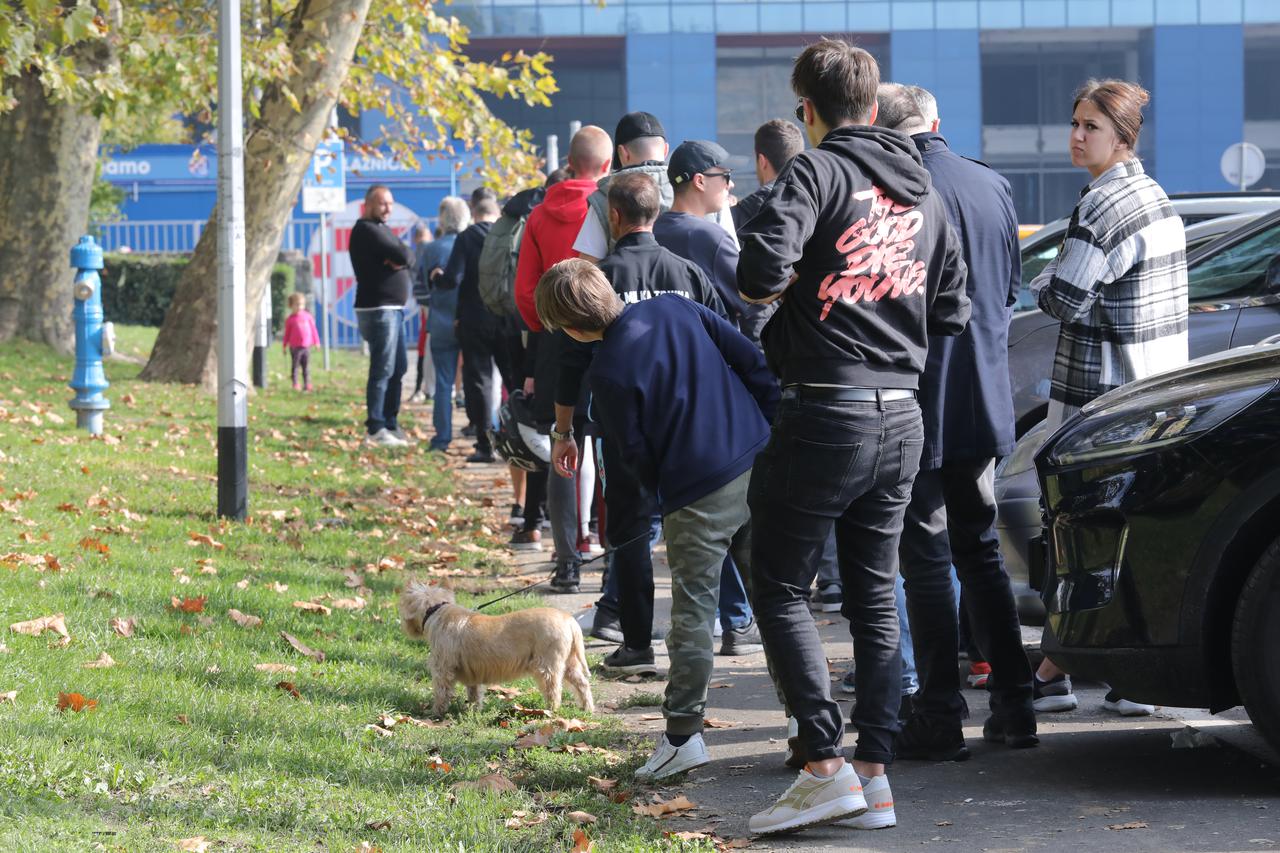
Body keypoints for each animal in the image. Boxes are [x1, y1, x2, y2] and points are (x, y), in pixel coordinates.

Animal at [396, 581, 591, 712]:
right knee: (582, 684)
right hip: (570, 663)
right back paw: (587, 708)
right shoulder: (472, 672)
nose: (403, 626)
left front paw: (436, 712)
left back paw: (551, 711)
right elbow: (474, 693)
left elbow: (441, 692)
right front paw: (473, 710)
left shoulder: (442, 669)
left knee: (554, 690)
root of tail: (570, 621)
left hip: (547, 665)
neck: (436, 610)